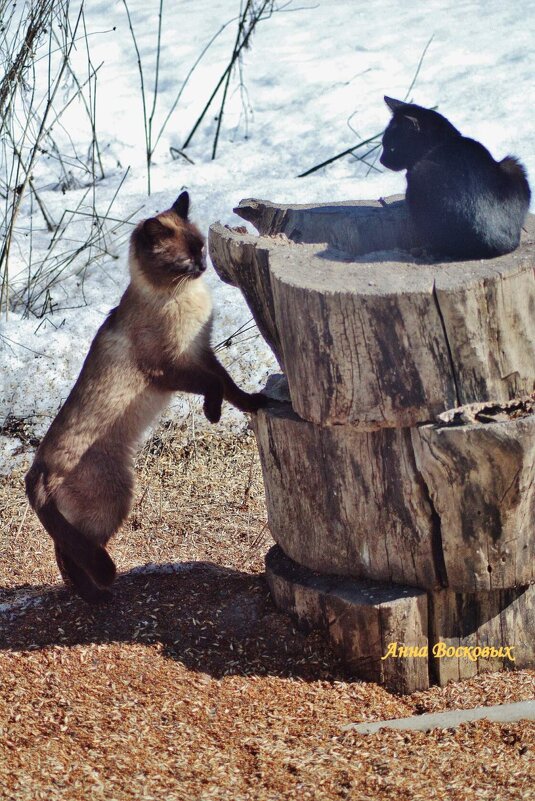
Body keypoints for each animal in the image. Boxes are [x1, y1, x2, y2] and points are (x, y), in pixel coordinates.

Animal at [25, 191, 268, 604]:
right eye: (186, 258)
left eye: (202, 248)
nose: (203, 267)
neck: (180, 295)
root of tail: (35, 469)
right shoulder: (172, 370)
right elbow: (215, 389)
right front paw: (213, 415)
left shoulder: (203, 354)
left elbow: (232, 388)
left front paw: (255, 404)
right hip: (117, 498)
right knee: (75, 552)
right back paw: (100, 597)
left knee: (65, 549)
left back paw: (90, 595)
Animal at [382, 95, 532, 260]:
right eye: (383, 144)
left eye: (392, 148)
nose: (381, 160)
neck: (442, 142)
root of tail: (496, 244)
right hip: (514, 165)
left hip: (420, 174)